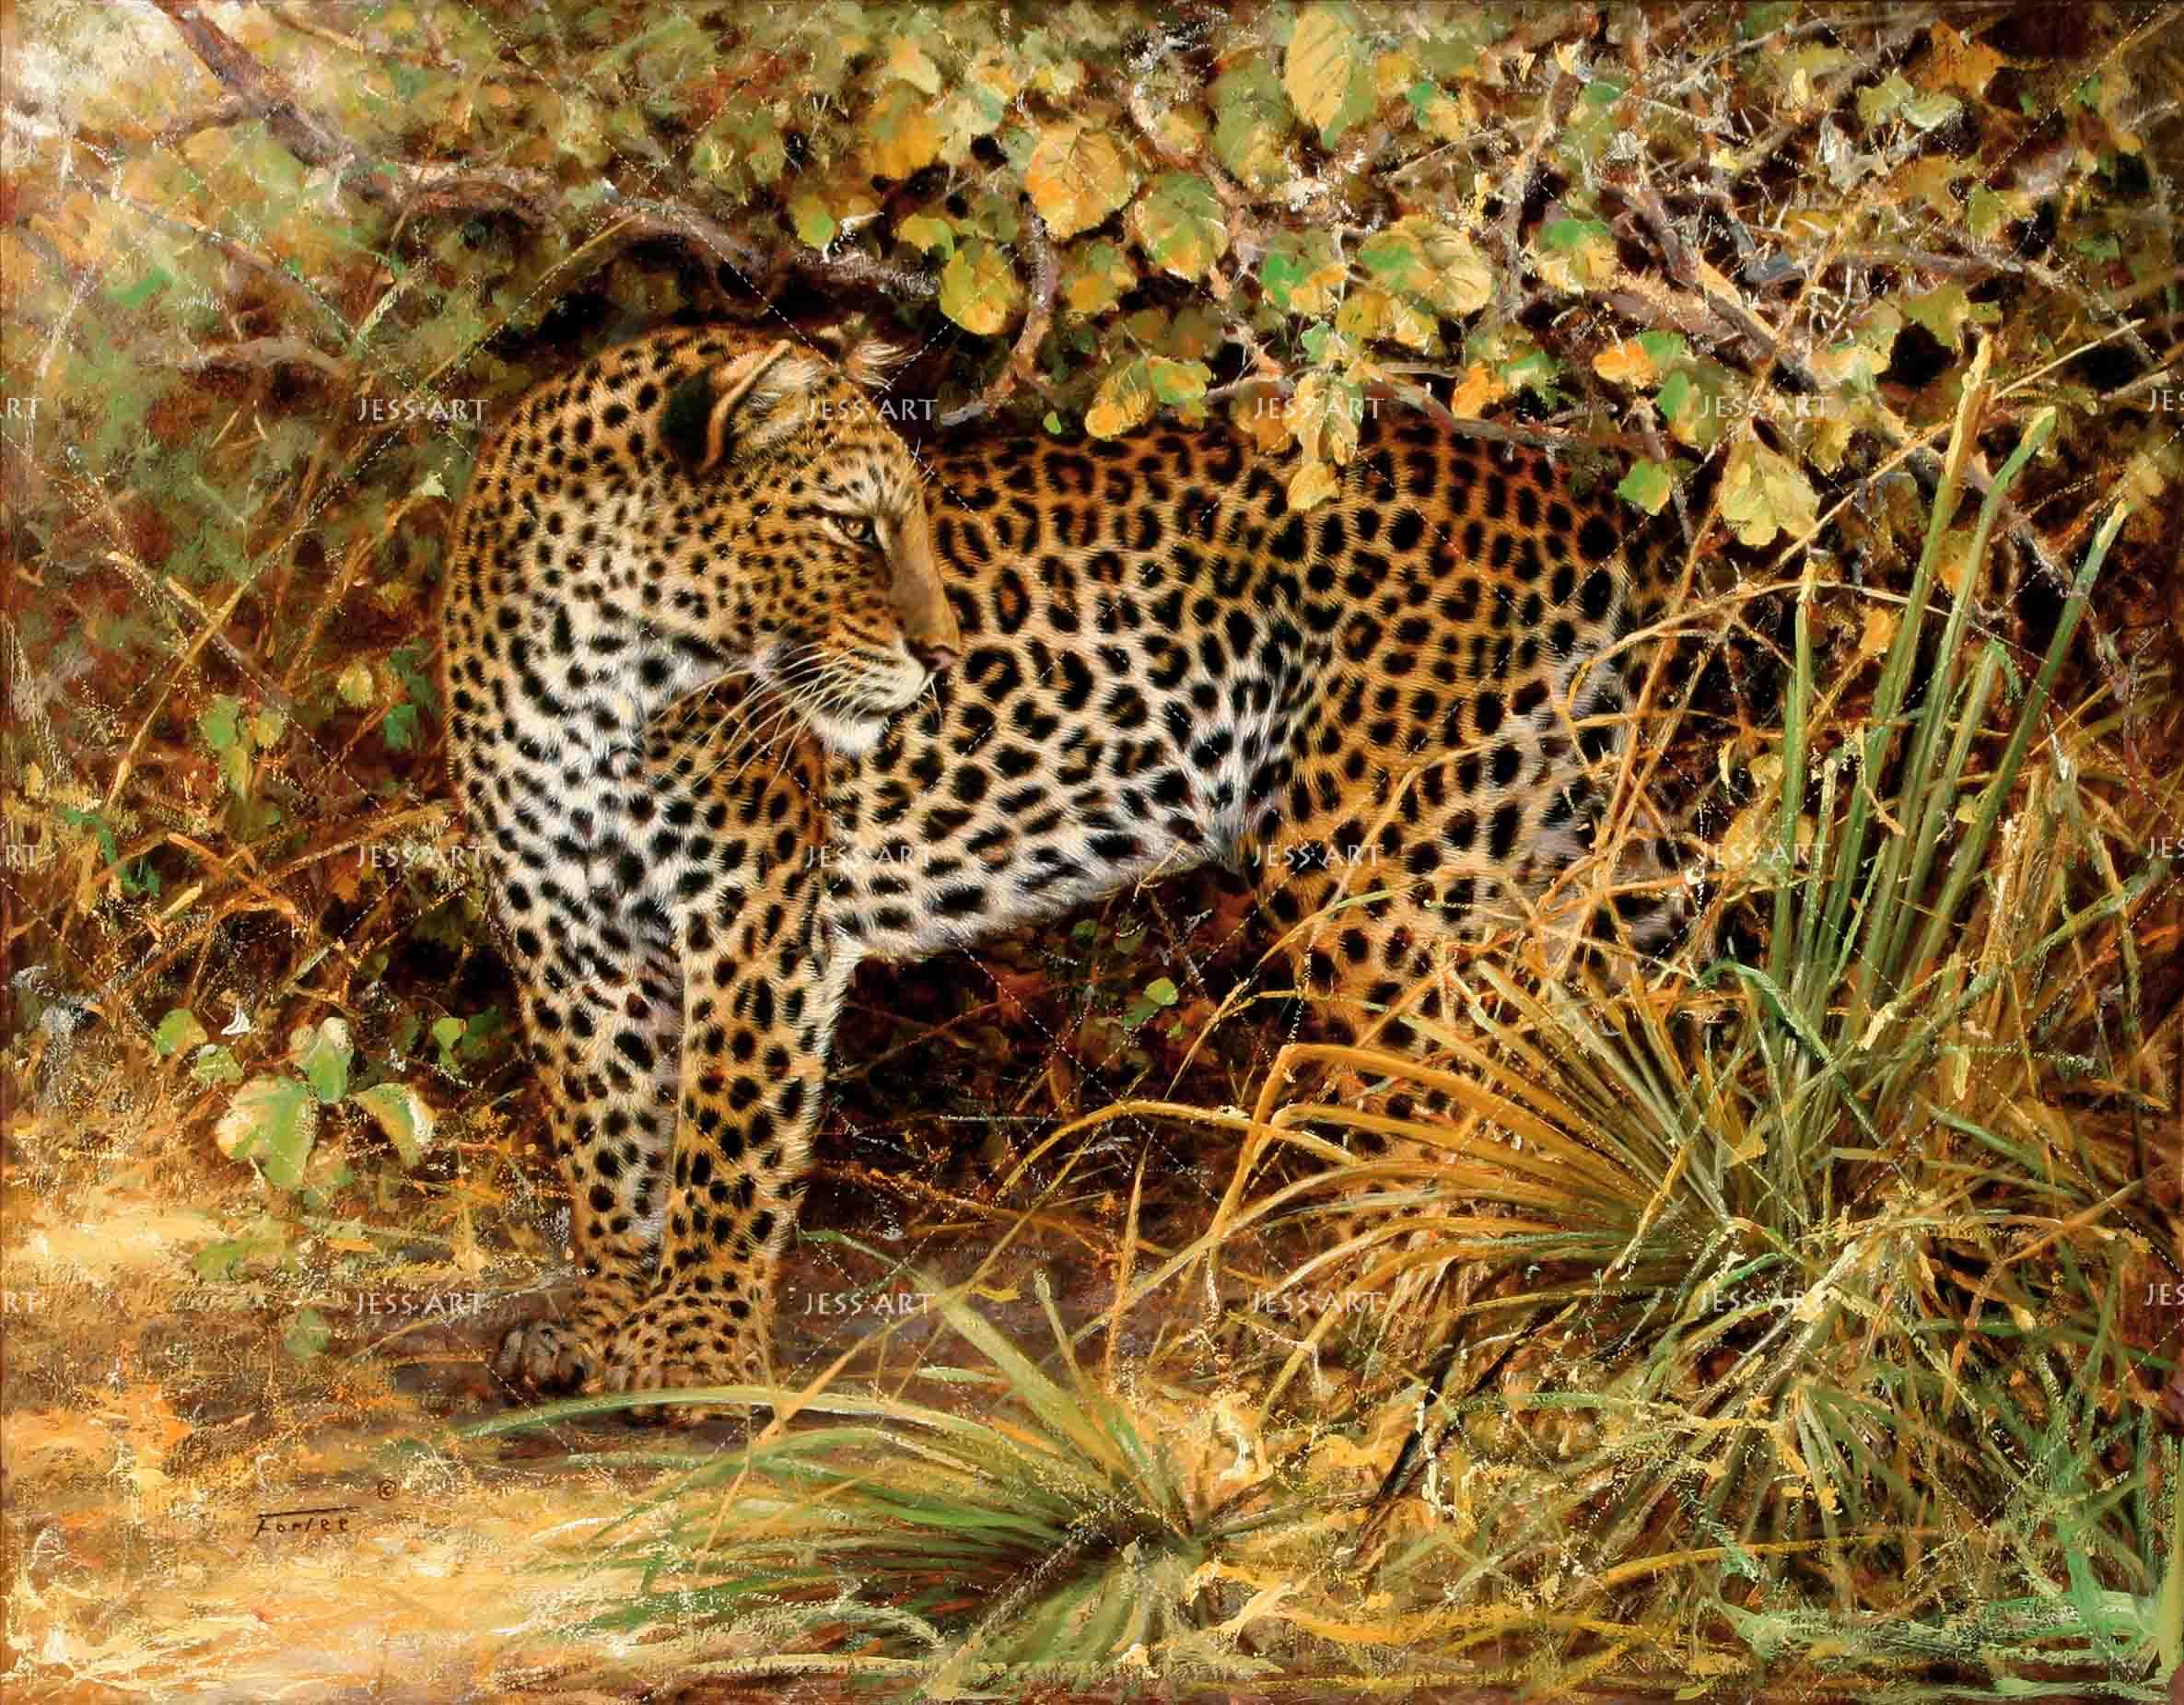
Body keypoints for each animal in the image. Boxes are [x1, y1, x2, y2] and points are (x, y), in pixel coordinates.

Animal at [439, 323, 1688, 1415]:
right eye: (853, 528)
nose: (942, 660)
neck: (599, 667)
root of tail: (1571, 501)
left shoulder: (753, 918)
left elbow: (724, 1140)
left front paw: (696, 1350)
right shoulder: (571, 940)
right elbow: (610, 1139)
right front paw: (603, 1325)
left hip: (1377, 861)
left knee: (1439, 1091)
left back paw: (1373, 1313)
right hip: (1528, 830)